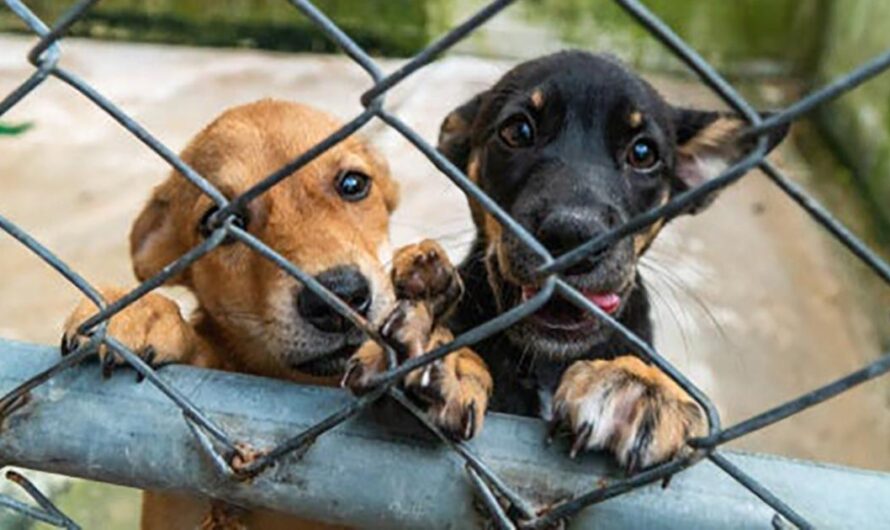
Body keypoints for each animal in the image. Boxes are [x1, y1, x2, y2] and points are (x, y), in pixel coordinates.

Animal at [438, 50, 784, 470]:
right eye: (517, 131)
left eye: (643, 153)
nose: (573, 235)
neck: (549, 363)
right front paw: (446, 356)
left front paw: (640, 386)